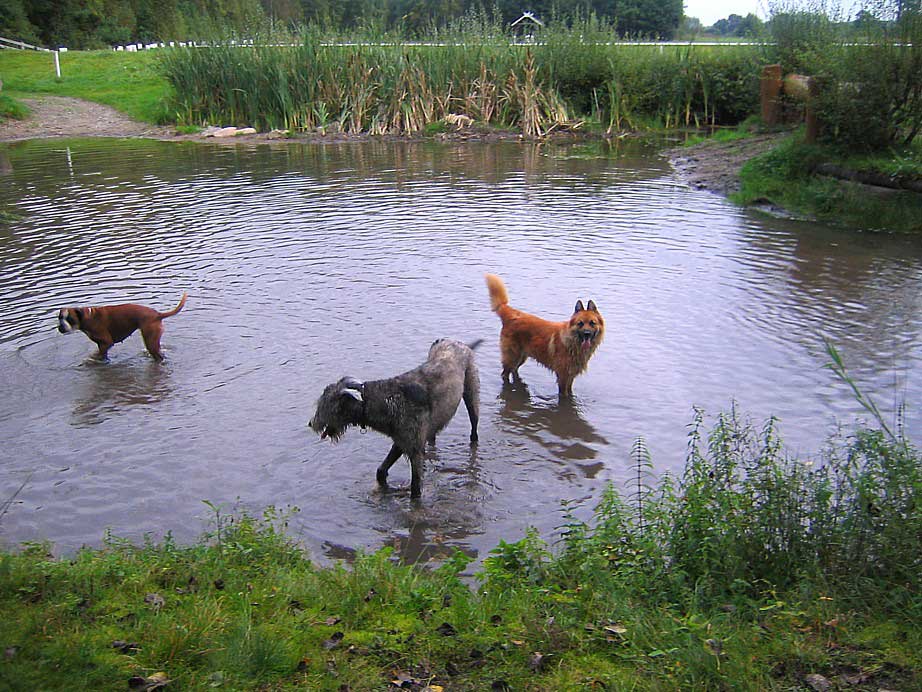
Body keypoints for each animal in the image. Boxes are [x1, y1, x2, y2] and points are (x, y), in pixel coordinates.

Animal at [57, 292, 187, 362]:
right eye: (60, 318)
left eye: (70, 320)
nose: (60, 327)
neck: (87, 317)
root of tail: (157, 314)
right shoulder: (101, 345)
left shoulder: (106, 343)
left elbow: (98, 356)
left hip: (150, 341)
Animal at [310, 340, 482, 498]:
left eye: (322, 405)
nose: (310, 423)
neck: (387, 400)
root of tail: (459, 343)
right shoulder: (401, 441)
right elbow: (381, 471)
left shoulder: (414, 449)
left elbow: (415, 489)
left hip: (471, 391)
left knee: (474, 424)